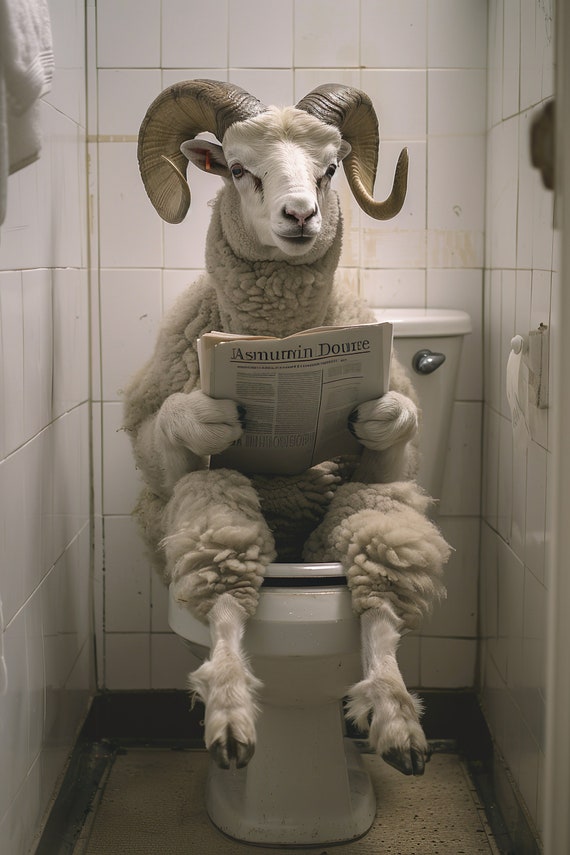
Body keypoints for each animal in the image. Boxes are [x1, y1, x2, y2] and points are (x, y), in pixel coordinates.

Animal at [124, 80, 450, 776]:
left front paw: (383, 413)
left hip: (373, 516)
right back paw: (229, 715)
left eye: (328, 169)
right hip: (213, 513)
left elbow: (394, 439)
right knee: (224, 586)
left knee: (380, 587)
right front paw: (206, 415)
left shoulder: (389, 452)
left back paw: (396, 719)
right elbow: (169, 436)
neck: (277, 334)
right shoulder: (154, 435)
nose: (301, 216)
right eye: (239, 169)